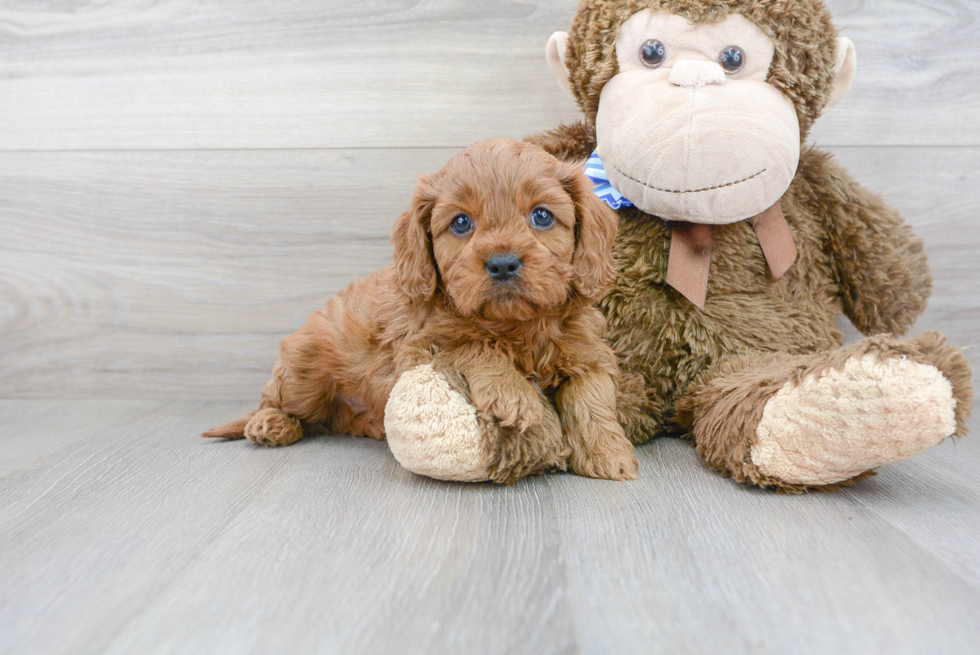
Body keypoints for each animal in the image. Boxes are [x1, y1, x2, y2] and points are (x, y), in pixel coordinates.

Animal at [203, 138, 640, 482]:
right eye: (461, 223)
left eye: (542, 216)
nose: (502, 263)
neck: (515, 324)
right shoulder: (418, 347)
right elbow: (473, 345)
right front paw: (514, 394)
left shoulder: (587, 353)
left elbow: (593, 401)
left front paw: (609, 455)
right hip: (304, 373)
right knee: (278, 401)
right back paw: (270, 423)